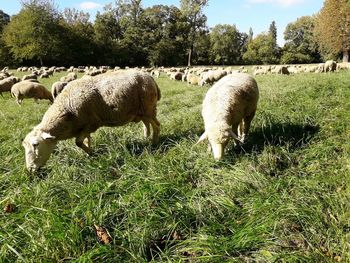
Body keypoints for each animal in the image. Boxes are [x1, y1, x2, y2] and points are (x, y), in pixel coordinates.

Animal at [22, 71, 162, 172]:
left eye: (36, 144)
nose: (31, 170)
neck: (66, 110)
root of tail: (150, 77)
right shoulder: (84, 125)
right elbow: (86, 140)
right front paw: (89, 153)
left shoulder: (92, 123)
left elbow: (78, 142)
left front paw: (92, 153)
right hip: (141, 111)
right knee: (146, 124)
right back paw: (146, 138)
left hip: (148, 108)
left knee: (156, 125)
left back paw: (154, 143)